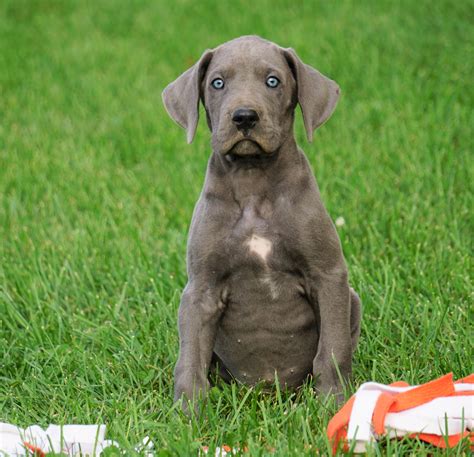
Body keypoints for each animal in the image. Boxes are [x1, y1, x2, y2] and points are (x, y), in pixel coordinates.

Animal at [161, 33, 362, 408]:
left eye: (273, 81)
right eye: (217, 83)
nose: (244, 117)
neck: (252, 178)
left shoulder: (328, 275)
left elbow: (331, 350)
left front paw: (333, 406)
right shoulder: (201, 288)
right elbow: (190, 360)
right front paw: (187, 414)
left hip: (352, 299)